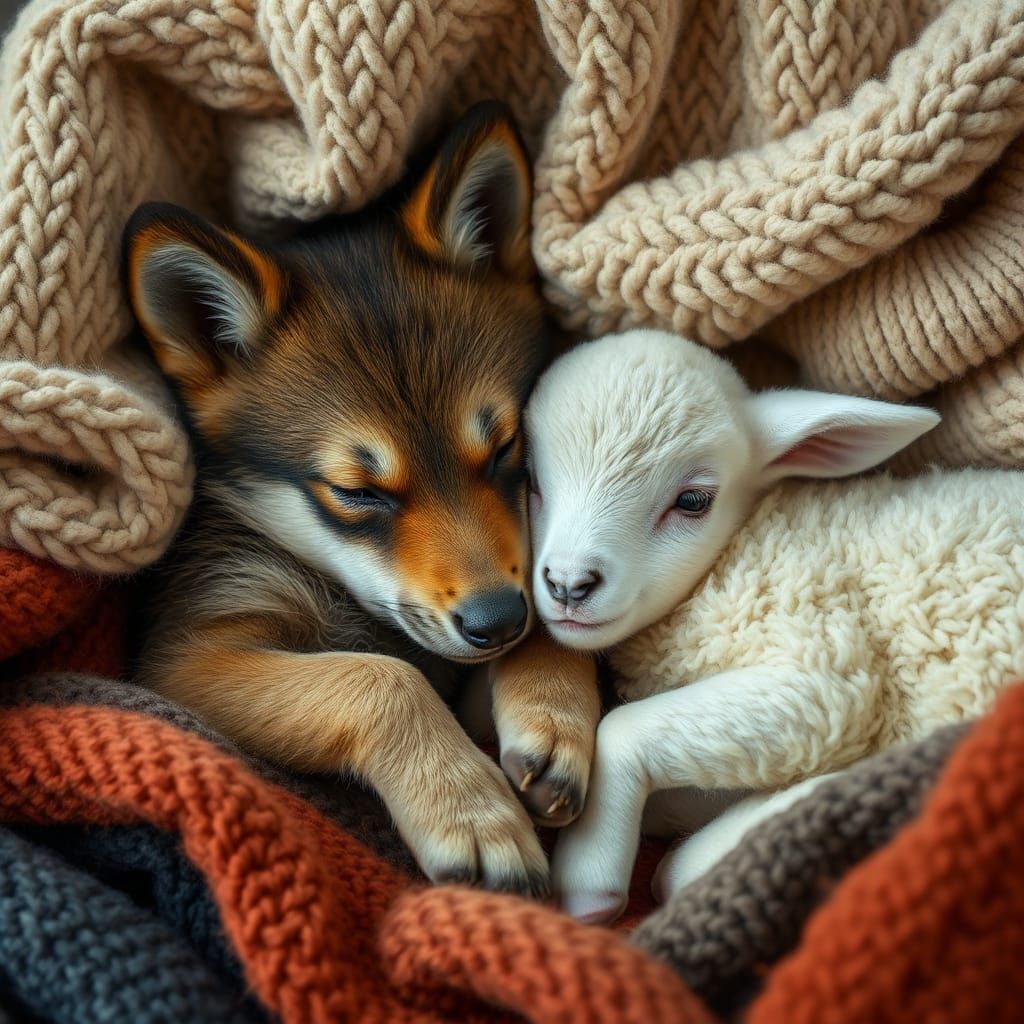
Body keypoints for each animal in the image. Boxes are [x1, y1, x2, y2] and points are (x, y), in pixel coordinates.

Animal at [524, 328, 1024, 924]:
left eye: (693, 500)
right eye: (530, 481)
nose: (569, 583)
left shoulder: (824, 661)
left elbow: (623, 731)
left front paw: (588, 878)